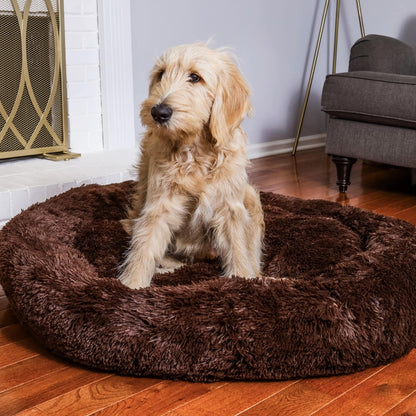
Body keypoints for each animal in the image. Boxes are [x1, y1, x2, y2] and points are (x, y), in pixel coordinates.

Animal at [118, 43, 264, 290]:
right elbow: (144, 247)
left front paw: (243, 279)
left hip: (251, 197)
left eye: (195, 77)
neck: (195, 152)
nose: (158, 112)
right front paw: (131, 285)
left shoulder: (229, 207)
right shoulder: (160, 205)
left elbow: (237, 248)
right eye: (161, 74)